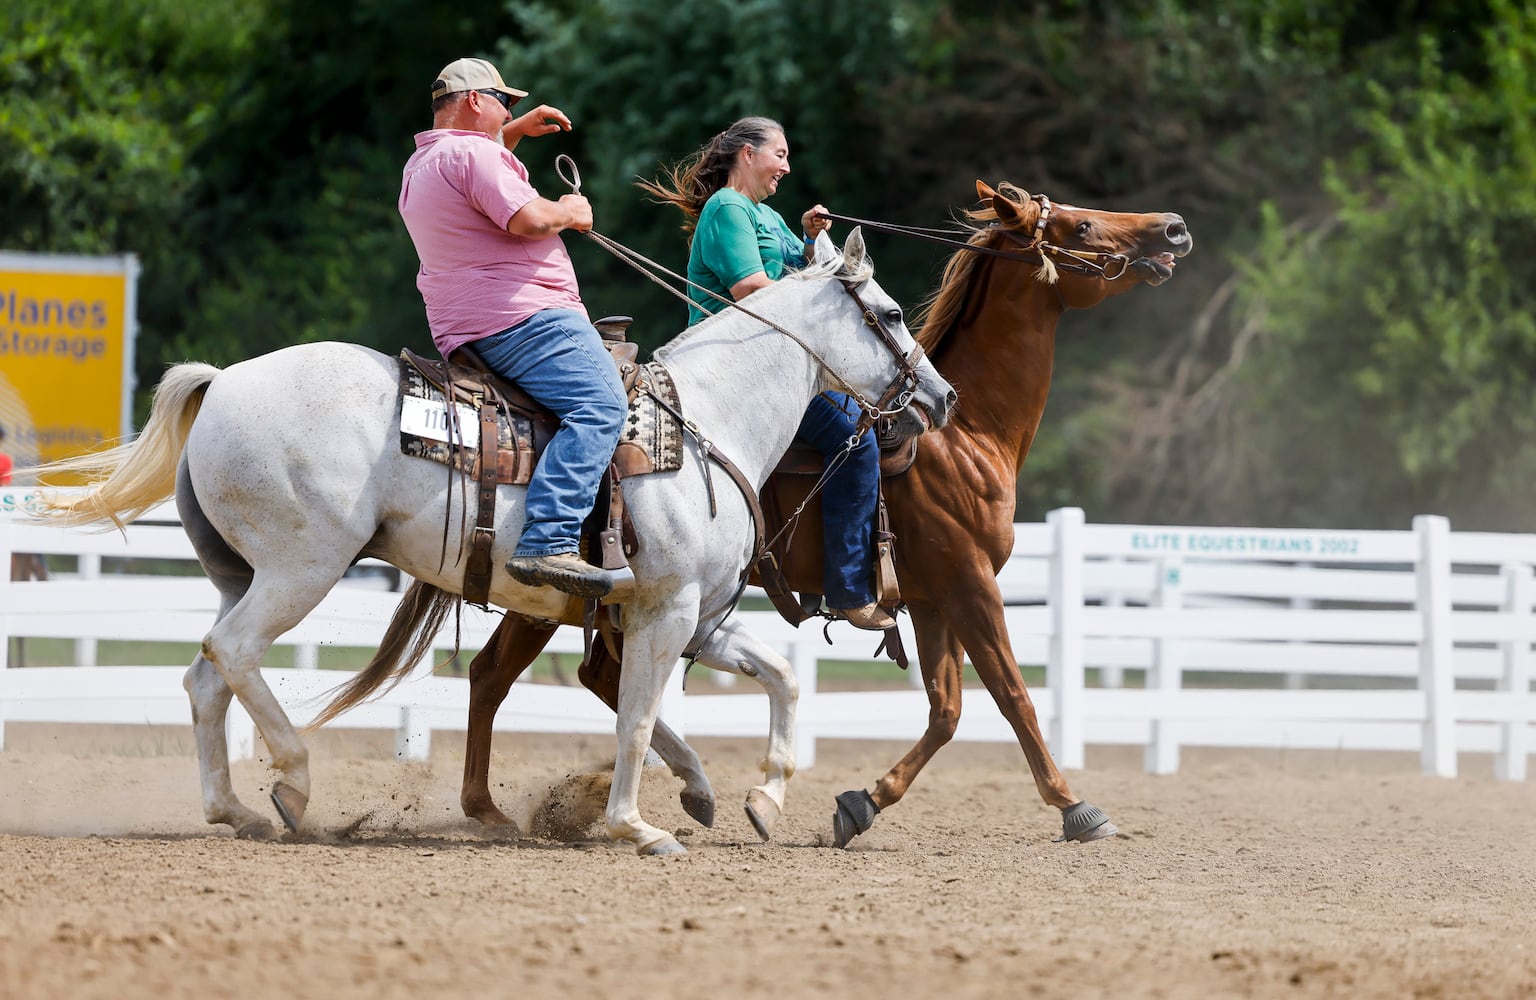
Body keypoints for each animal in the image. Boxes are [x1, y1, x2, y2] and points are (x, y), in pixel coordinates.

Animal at [33, 230, 946, 854]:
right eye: (892, 313)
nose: (941, 397)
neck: (705, 423)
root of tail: (223, 382)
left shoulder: (695, 614)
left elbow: (778, 679)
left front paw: (761, 797)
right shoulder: (667, 610)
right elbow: (638, 718)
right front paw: (637, 827)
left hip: (242, 573)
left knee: (205, 676)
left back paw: (237, 808)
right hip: (300, 570)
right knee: (233, 653)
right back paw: (292, 781)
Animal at [454, 179, 1185, 847]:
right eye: (1082, 224)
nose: (1173, 228)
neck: (965, 436)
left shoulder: (931, 598)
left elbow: (947, 709)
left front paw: (862, 802)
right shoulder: (969, 582)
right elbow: (1012, 696)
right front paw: (1074, 806)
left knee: (549, 674)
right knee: (515, 675)